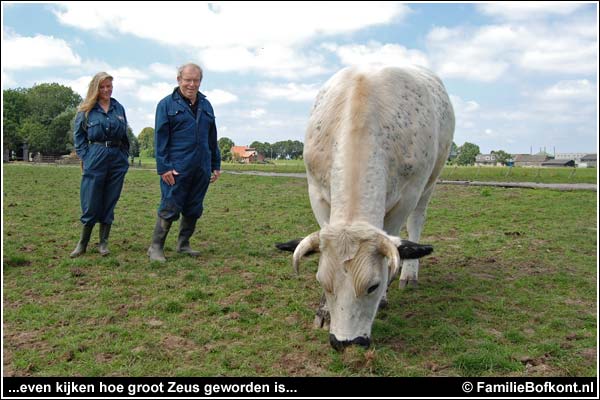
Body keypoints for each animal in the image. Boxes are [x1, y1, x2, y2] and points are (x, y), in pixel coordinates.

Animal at [276, 65, 454, 350]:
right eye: (322, 282)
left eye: (373, 285)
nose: (345, 342)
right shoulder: (317, 193)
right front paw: (324, 311)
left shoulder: (407, 196)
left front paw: (386, 295)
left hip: (430, 183)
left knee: (416, 221)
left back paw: (409, 274)